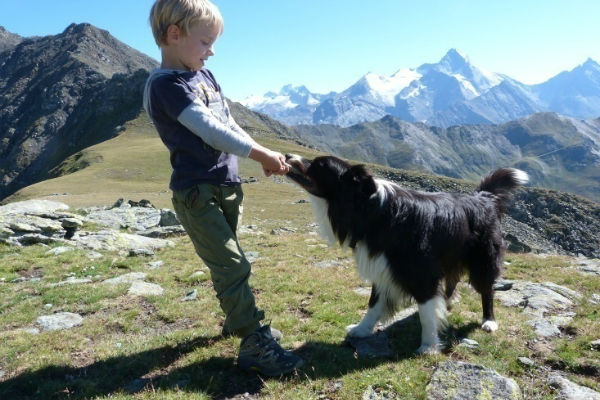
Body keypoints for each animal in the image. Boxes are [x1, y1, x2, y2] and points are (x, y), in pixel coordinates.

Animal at [284, 154, 528, 354]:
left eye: (319, 165)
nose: (287, 155)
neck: (372, 210)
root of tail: (483, 197)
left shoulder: (421, 271)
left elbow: (426, 313)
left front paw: (428, 346)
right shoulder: (382, 265)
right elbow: (374, 303)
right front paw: (361, 329)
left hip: (482, 258)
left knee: (486, 289)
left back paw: (488, 320)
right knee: (452, 279)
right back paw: (447, 301)